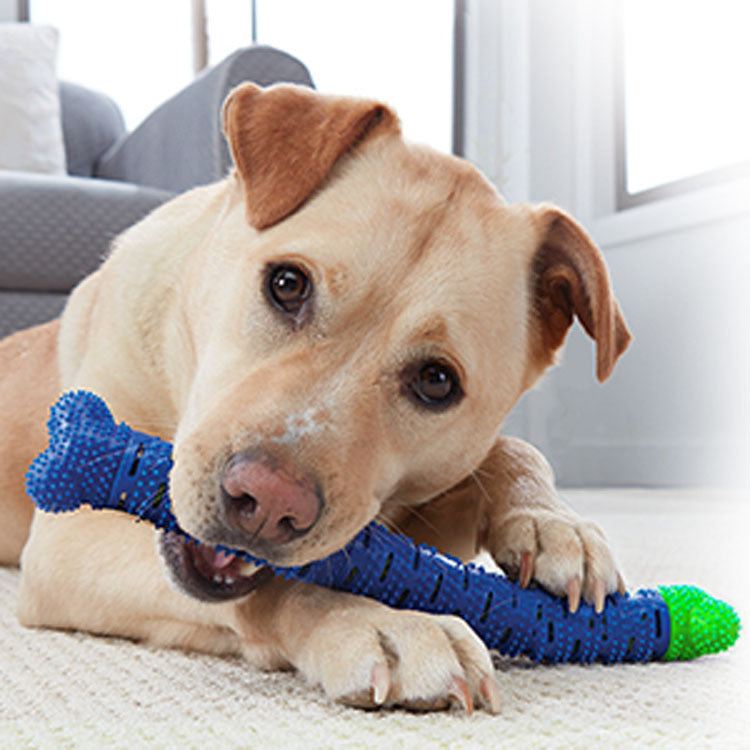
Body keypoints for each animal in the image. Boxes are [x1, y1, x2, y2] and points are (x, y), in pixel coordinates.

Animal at [2, 85, 632, 712]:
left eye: (436, 381)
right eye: (287, 285)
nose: (268, 502)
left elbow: (516, 450)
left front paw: (554, 524)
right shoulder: (65, 540)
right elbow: (288, 585)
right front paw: (380, 621)